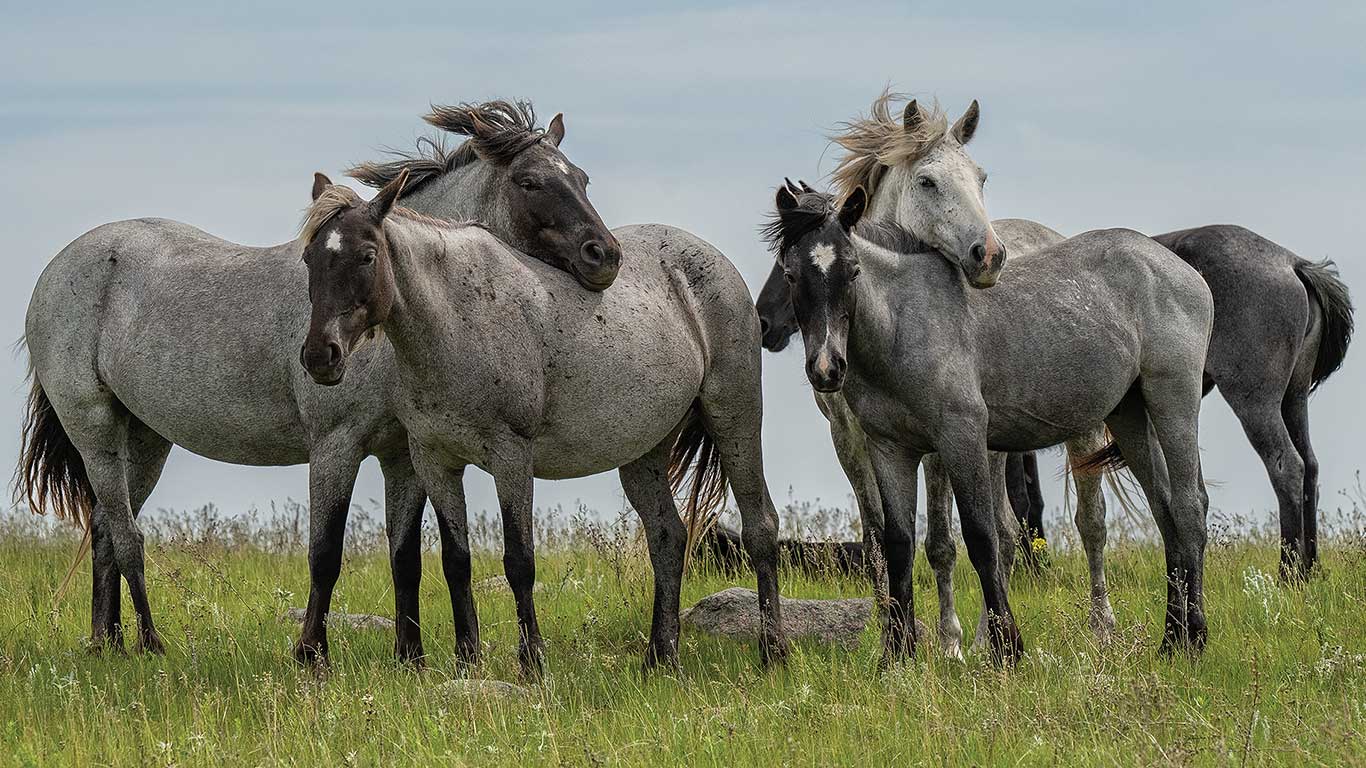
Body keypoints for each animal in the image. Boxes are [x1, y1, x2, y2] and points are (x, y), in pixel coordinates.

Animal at [17, 100, 619, 662]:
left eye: (582, 177)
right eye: (528, 181)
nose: (605, 255)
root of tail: (61, 267)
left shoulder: (404, 454)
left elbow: (404, 558)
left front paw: (411, 657)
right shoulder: (336, 444)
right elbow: (325, 553)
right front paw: (312, 653)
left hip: (143, 440)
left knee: (103, 530)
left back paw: (107, 645)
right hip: (95, 432)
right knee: (127, 538)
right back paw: (150, 644)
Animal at [297, 172, 788, 674]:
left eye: (367, 255)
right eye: (309, 258)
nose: (320, 356)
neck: (455, 317)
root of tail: (717, 265)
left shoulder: (511, 456)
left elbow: (519, 560)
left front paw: (532, 660)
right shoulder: (435, 461)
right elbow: (457, 560)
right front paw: (467, 660)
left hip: (735, 419)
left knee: (760, 527)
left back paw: (773, 651)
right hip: (645, 452)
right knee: (668, 539)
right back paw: (660, 658)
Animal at [765, 182, 1213, 664]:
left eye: (852, 271)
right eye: (790, 274)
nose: (827, 368)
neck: (905, 322)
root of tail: (1182, 271)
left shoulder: (961, 439)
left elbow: (982, 538)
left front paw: (1005, 647)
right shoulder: (890, 450)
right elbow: (898, 544)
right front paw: (897, 655)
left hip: (1172, 400)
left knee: (1188, 507)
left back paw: (1193, 636)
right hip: (1129, 415)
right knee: (1166, 514)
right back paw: (1171, 639)